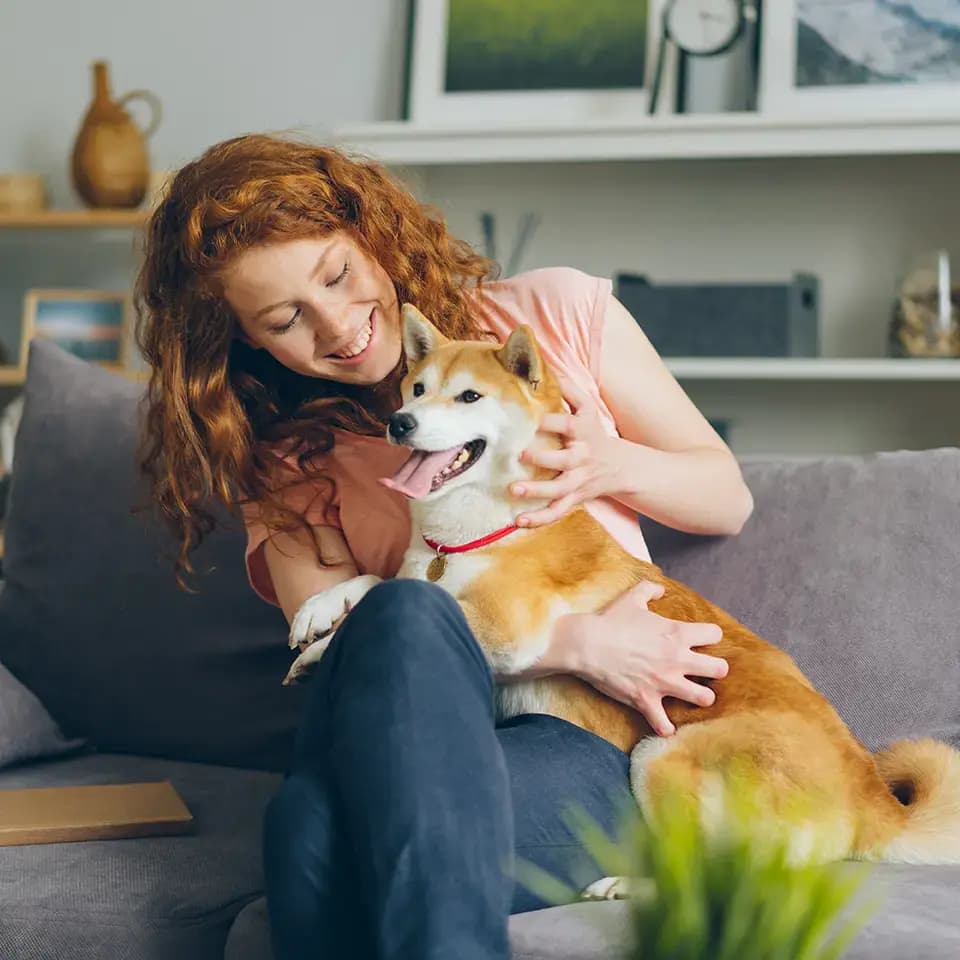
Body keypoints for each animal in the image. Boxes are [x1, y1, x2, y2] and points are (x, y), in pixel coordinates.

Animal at [284, 304, 960, 880]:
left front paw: (325, 645)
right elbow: (381, 580)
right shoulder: (424, 569)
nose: (400, 424)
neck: (478, 532)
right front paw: (319, 610)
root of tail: (872, 799)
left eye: (470, 396)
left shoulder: (504, 623)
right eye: (418, 389)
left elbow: (398, 601)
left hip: (660, 757)